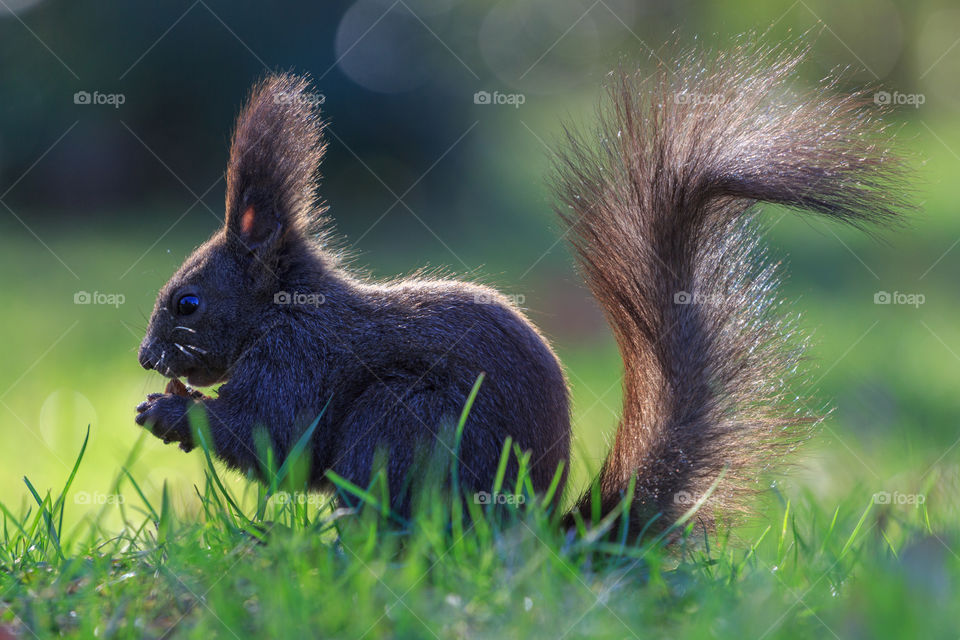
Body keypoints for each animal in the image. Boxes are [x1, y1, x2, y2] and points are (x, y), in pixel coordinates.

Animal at [133, 41, 908, 528]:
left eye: (187, 303)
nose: (145, 358)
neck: (283, 312)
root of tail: (537, 536)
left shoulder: (298, 360)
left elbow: (273, 440)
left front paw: (171, 412)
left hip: (406, 420)